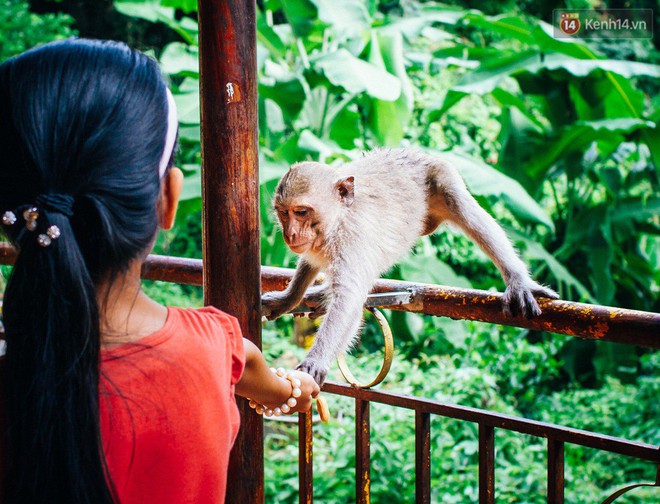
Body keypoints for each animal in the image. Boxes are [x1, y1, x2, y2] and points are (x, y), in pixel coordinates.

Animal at [262, 148, 556, 384]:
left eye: (301, 212)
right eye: (283, 213)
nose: (290, 234)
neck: (337, 220)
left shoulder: (353, 240)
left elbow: (348, 300)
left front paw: (317, 359)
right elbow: (310, 263)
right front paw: (289, 298)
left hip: (439, 177)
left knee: (463, 207)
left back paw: (517, 279)